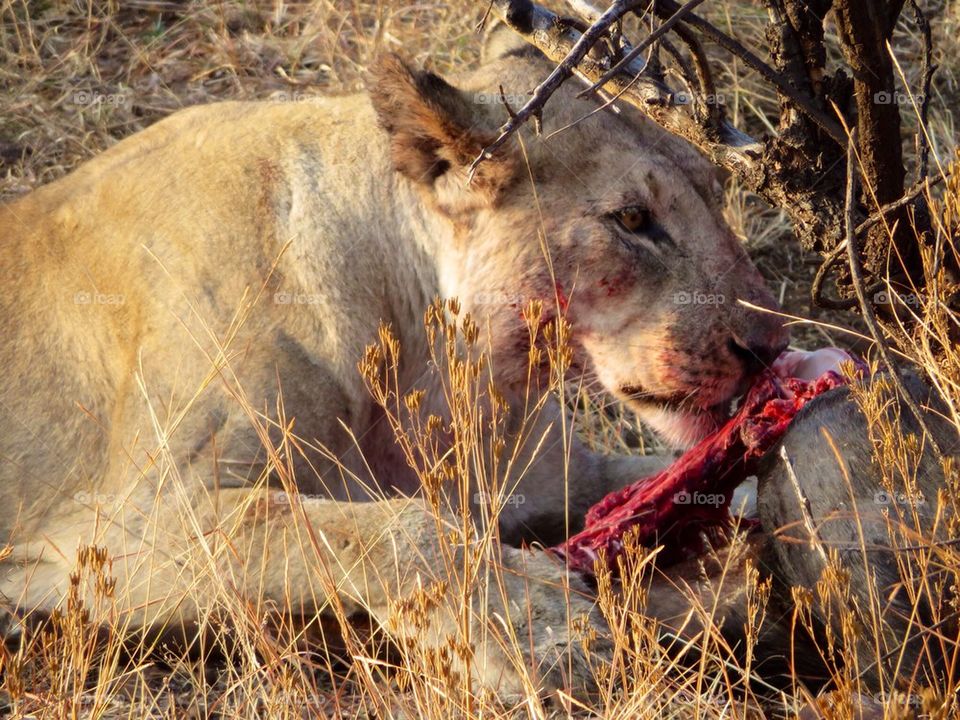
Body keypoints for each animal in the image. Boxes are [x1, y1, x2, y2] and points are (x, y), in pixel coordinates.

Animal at [0, 33, 787, 696]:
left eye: (715, 191)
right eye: (631, 220)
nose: (769, 346)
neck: (436, 362)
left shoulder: (548, 475)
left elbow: (672, 480)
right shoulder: (106, 525)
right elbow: (387, 527)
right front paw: (544, 630)